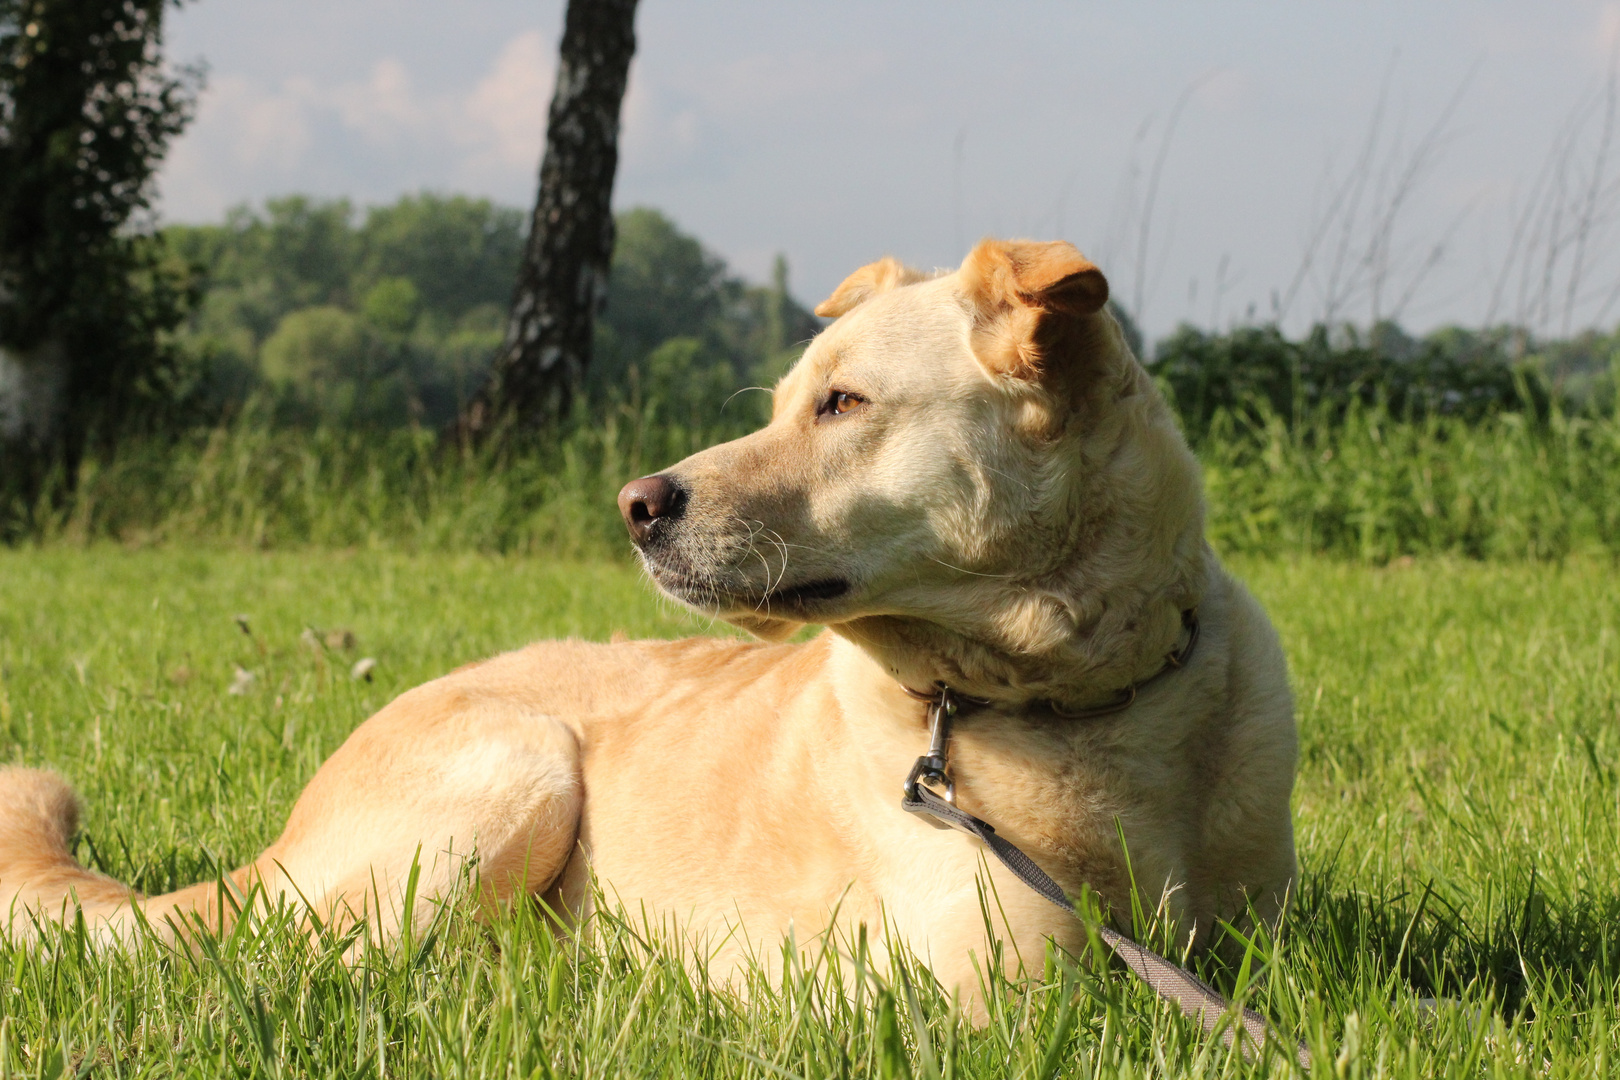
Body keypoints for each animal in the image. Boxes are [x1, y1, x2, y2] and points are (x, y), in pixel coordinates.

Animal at [0, 238, 1296, 1003]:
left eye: (842, 404)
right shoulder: (994, 1005)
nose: (632, 503)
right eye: (786, 401)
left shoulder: (1257, 958)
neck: (1077, 707)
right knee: (311, 972)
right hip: (508, 777)